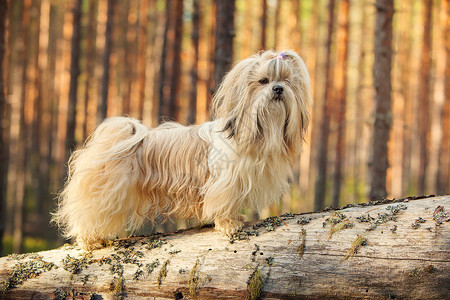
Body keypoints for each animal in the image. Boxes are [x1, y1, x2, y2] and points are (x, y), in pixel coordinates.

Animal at [53, 49, 312, 251]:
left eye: (287, 80)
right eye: (264, 81)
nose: (278, 89)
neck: (260, 130)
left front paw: (236, 218)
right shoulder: (224, 183)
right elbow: (223, 203)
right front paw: (228, 224)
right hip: (105, 194)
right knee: (89, 215)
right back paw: (90, 241)